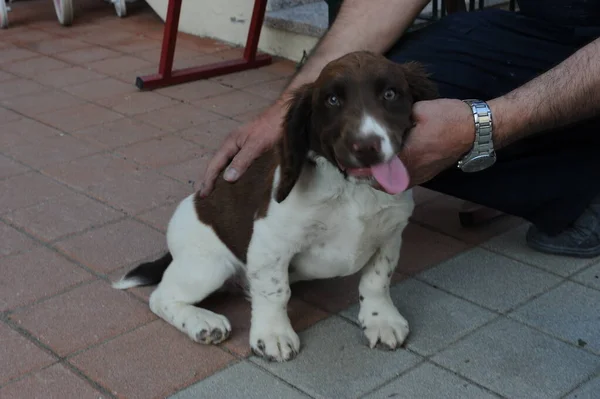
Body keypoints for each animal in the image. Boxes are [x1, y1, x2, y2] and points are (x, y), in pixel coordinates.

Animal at [115, 51, 438, 364]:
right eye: (332, 100)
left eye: (390, 94)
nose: (367, 146)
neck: (351, 189)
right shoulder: (271, 242)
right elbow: (275, 291)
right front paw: (273, 335)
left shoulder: (390, 234)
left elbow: (377, 280)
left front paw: (381, 320)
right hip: (208, 265)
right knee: (161, 297)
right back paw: (202, 322)